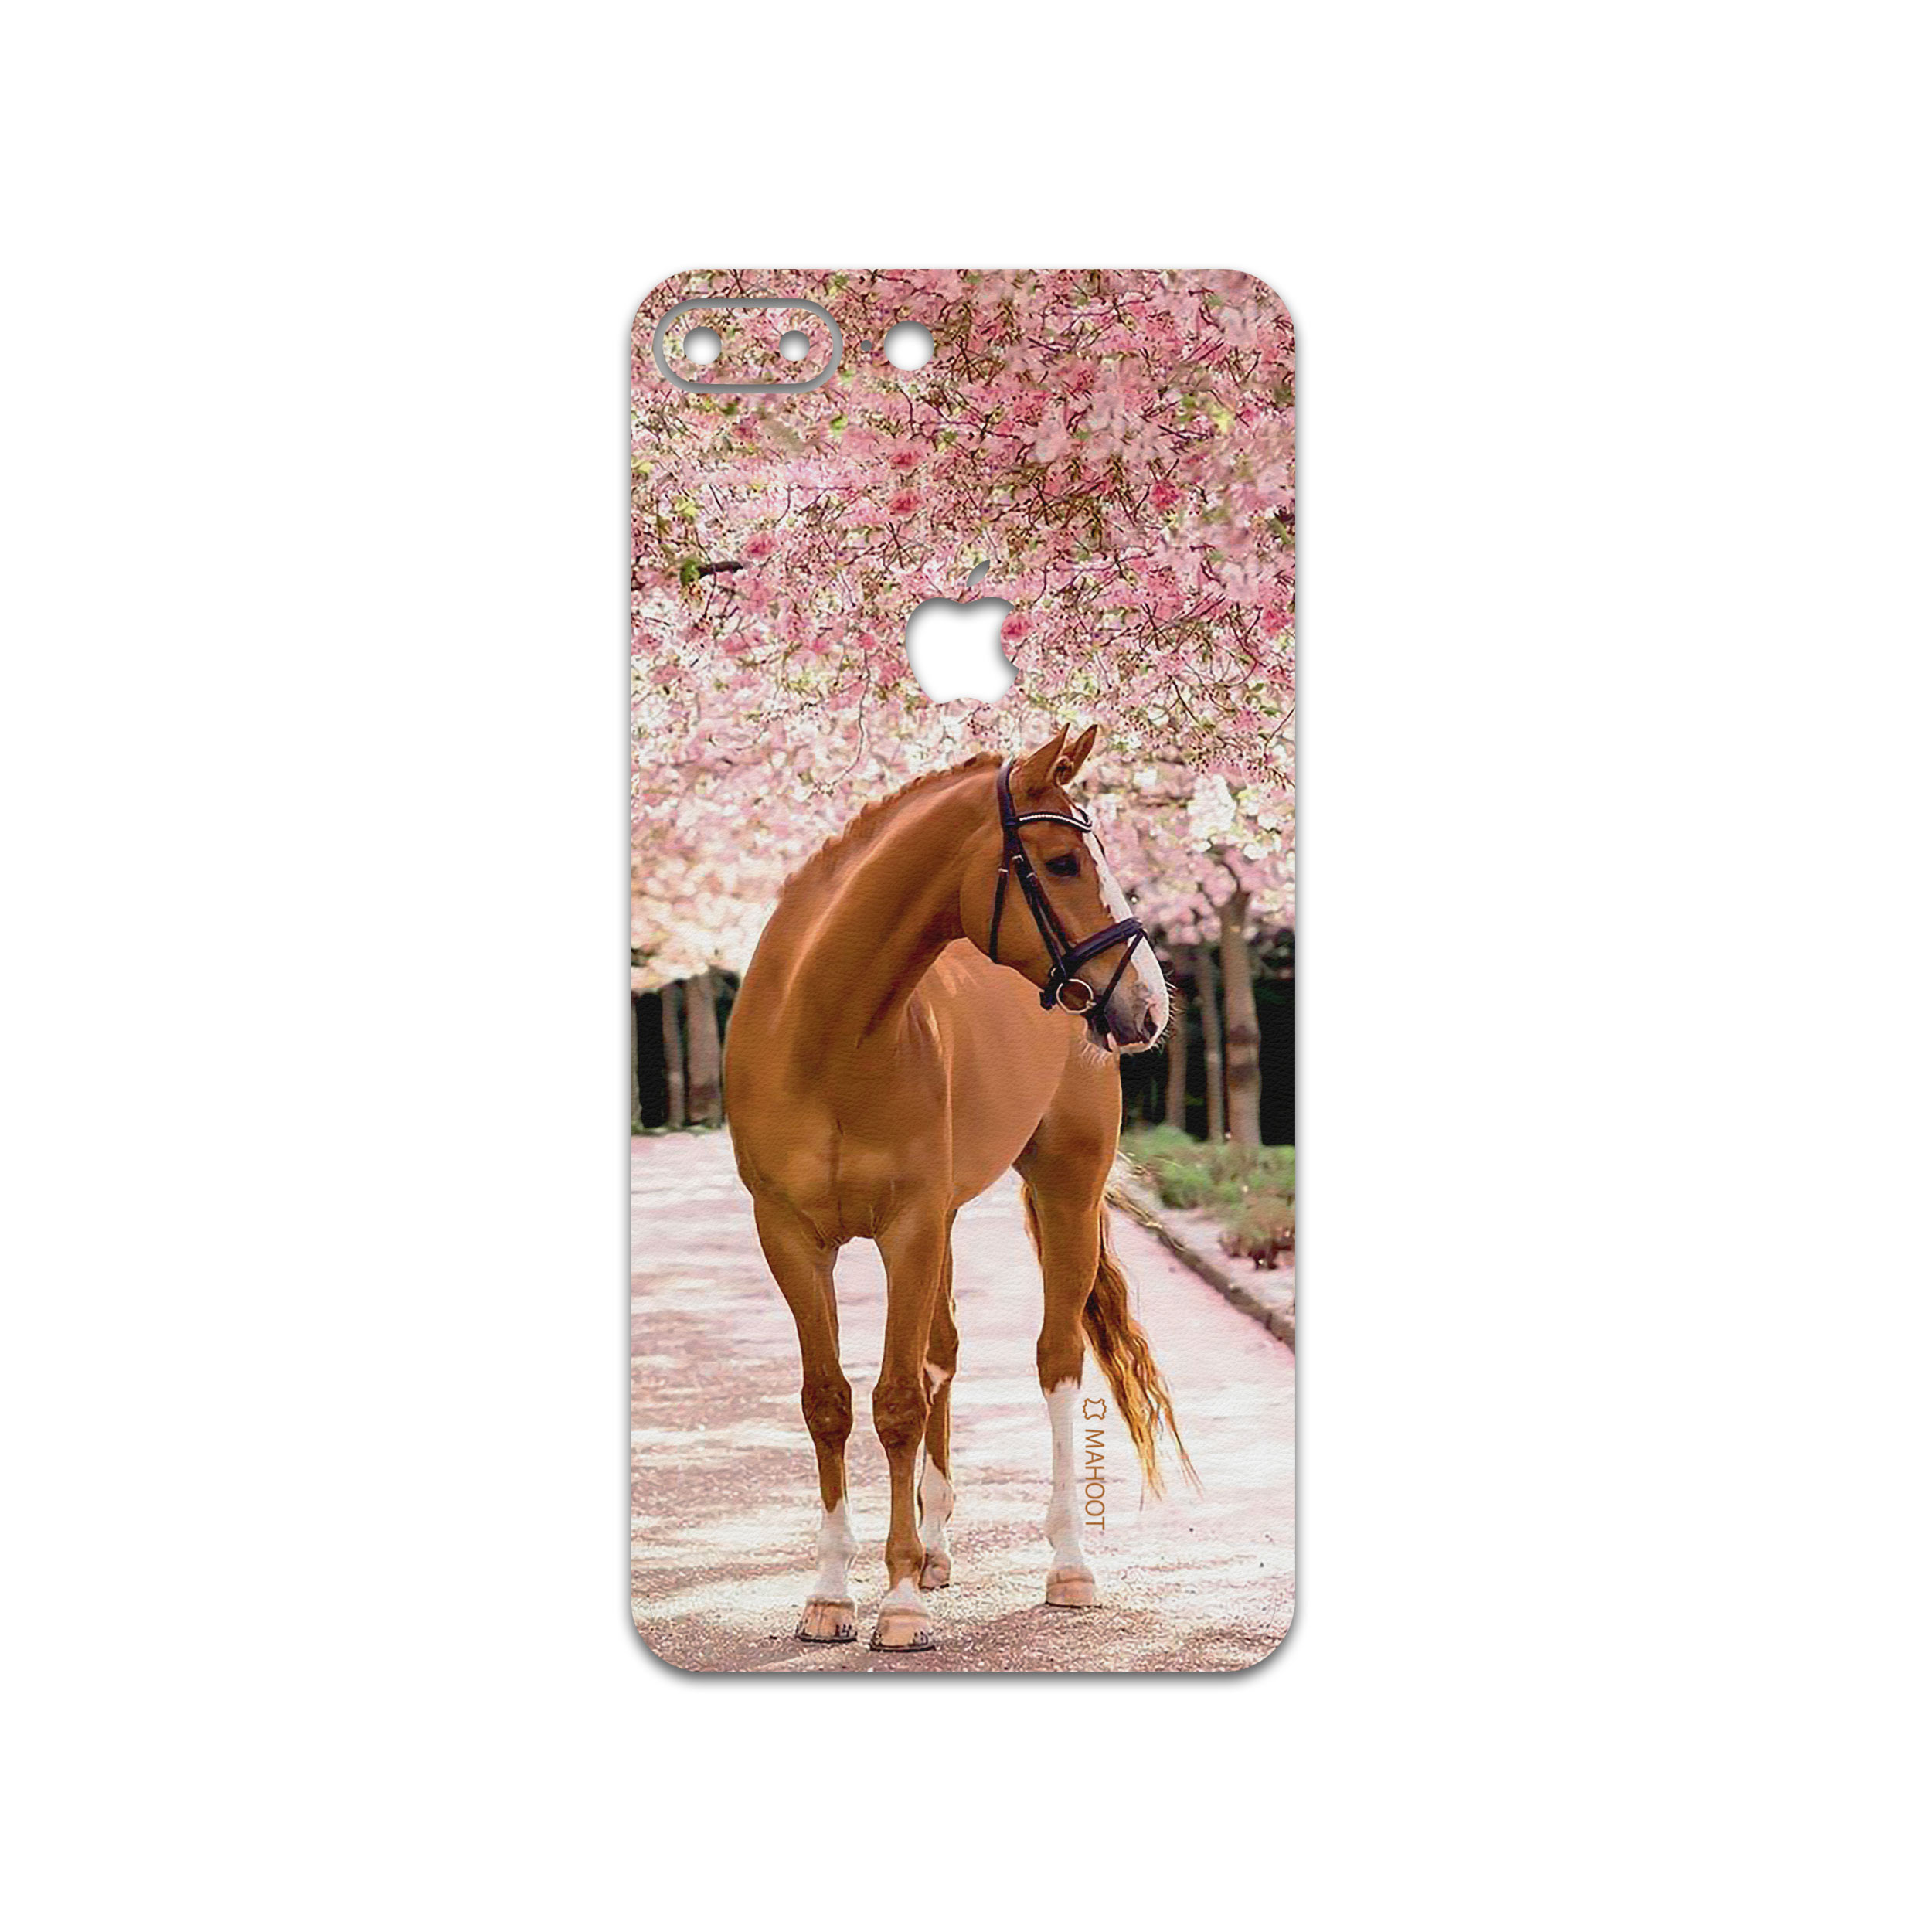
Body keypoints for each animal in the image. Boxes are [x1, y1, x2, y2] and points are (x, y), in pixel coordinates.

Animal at [724, 724, 1191, 1652]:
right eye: (1061, 862)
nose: (1150, 1005)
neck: (824, 1033)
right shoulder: (791, 1236)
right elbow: (829, 1402)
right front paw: (831, 1594)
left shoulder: (907, 1227)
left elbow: (898, 1401)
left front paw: (898, 1604)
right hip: (942, 1222)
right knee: (942, 1353)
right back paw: (936, 1549)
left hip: (1064, 1191)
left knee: (1055, 1360)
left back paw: (1067, 1565)